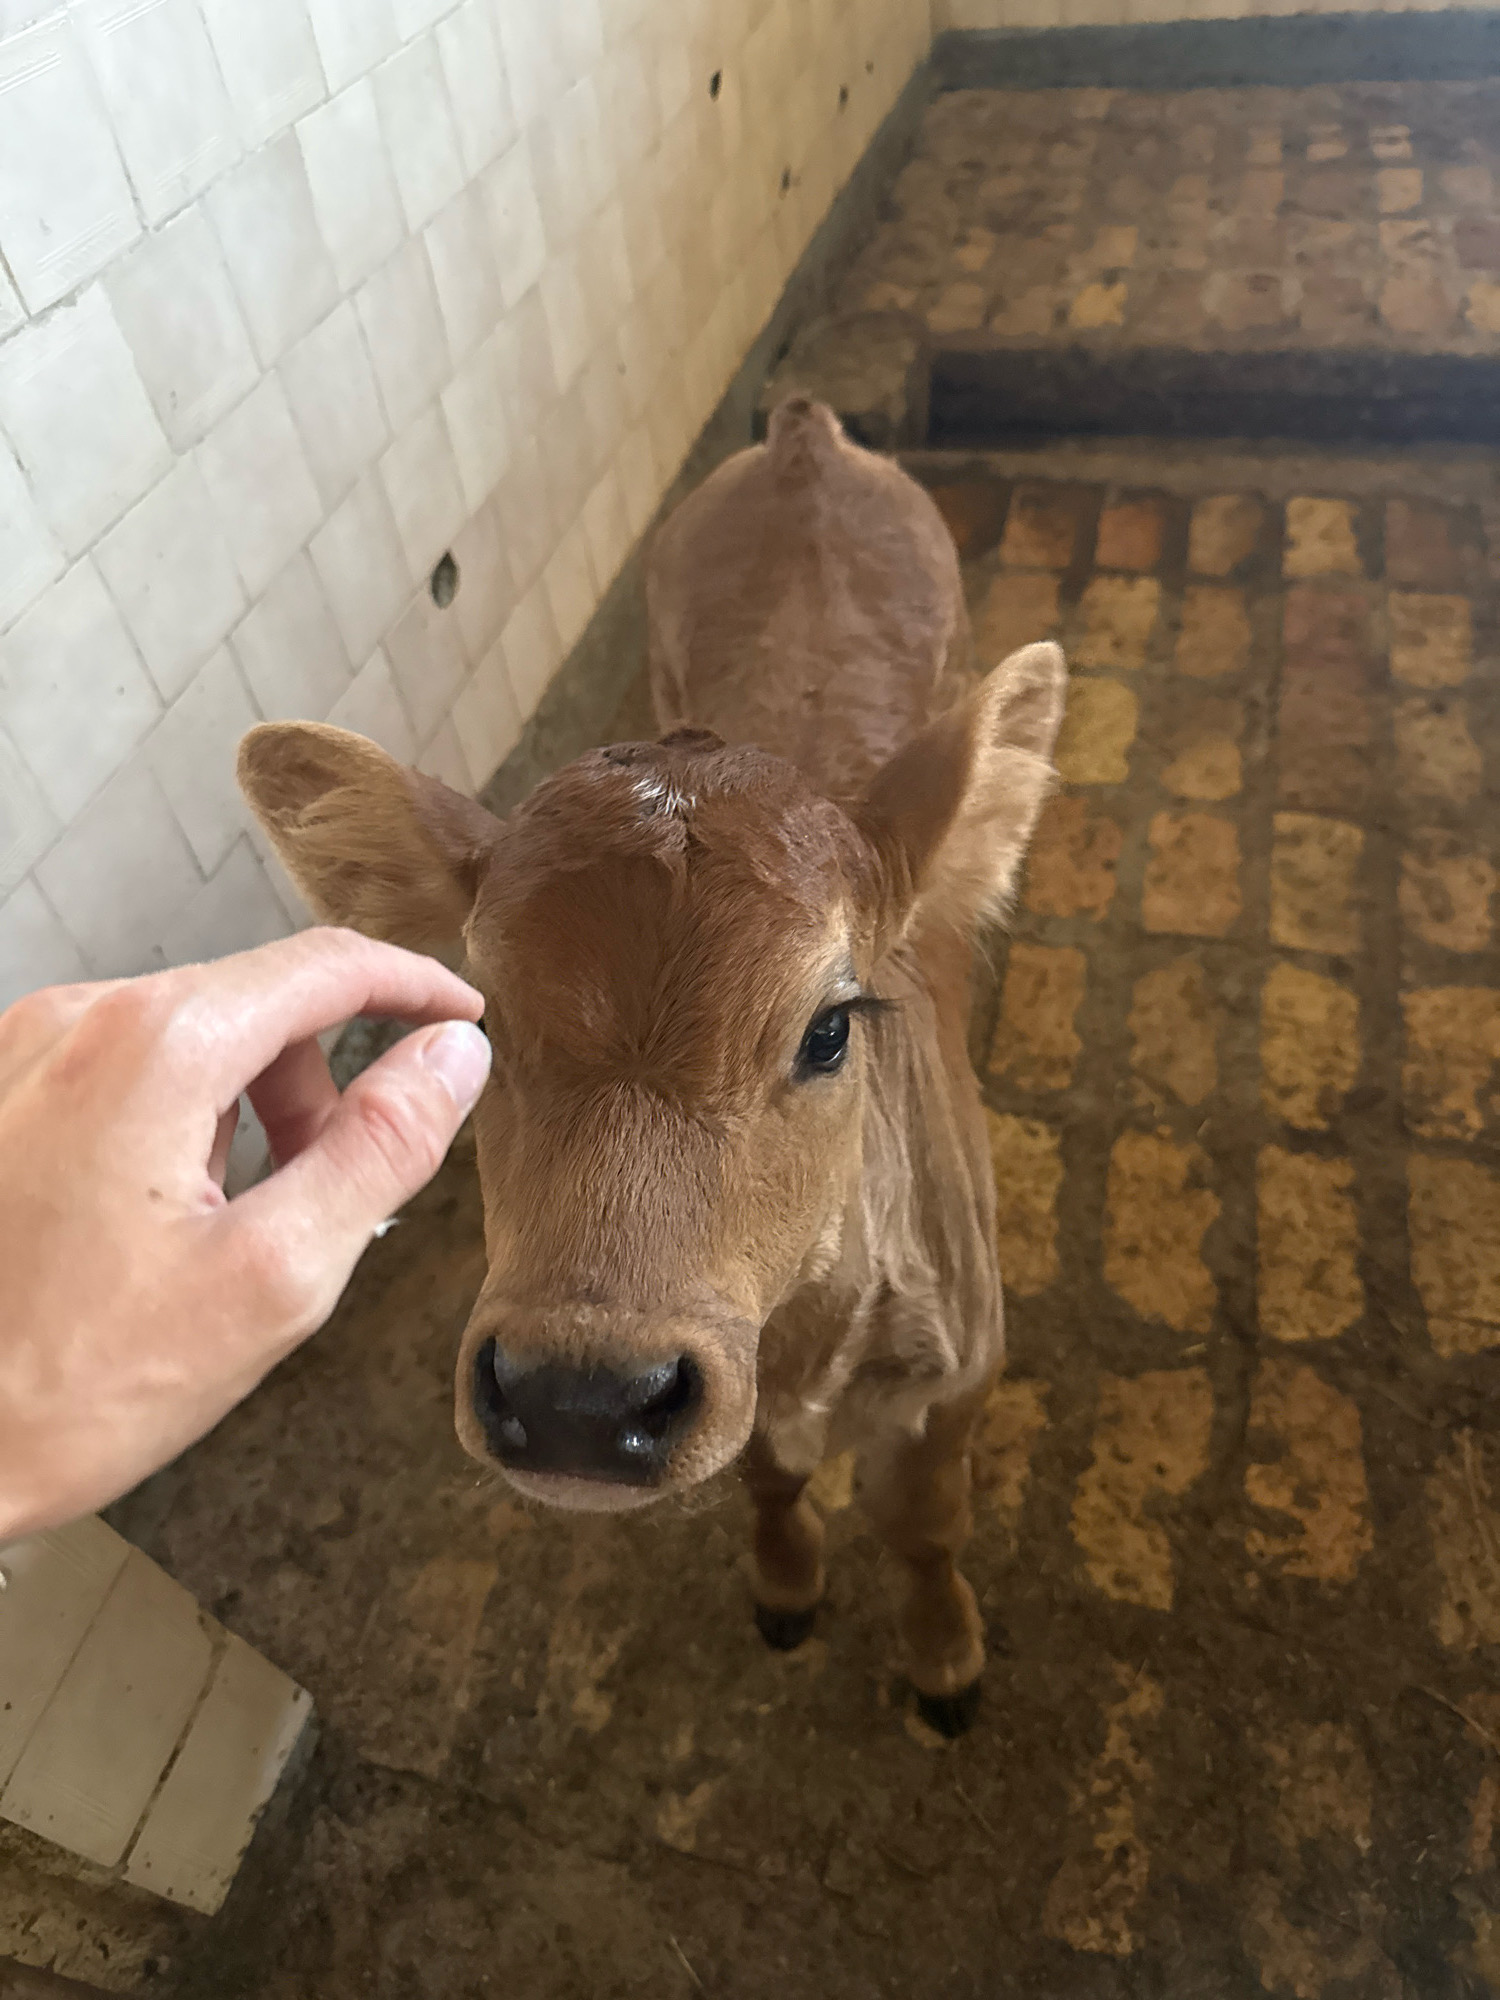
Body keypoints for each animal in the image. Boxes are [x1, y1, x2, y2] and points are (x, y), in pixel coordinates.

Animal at [238, 397, 1066, 1734]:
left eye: (831, 1027)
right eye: (483, 1019)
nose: (578, 1397)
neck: (812, 1352)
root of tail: (802, 433)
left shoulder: (970, 1364)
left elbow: (928, 1523)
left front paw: (947, 1660)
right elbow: (769, 1479)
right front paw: (785, 1589)